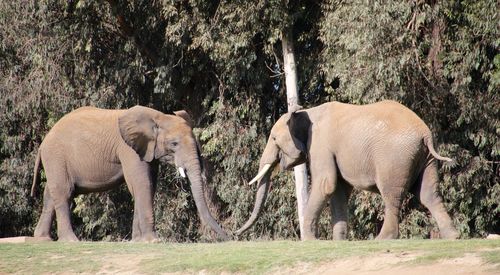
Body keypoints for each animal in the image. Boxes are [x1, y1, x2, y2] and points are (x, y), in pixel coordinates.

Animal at [30, 105, 228, 242]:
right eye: (174, 144)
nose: (230, 237)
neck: (157, 117)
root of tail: (43, 142)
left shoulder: (148, 152)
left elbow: (148, 186)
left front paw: (138, 241)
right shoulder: (128, 149)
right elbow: (141, 184)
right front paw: (152, 241)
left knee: (50, 195)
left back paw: (42, 239)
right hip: (56, 156)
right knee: (64, 193)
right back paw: (71, 241)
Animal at [236, 100, 458, 240]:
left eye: (273, 138)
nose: (235, 234)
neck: (307, 111)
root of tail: (425, 134)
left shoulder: (320, 144)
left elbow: (325, 184)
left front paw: (309, 241)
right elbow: (338, 191)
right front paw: (338, 242)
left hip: (394, 157)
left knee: (391, 195)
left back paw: (383, 239)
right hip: (425, 159)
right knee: (428, 194)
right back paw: (453, 237)